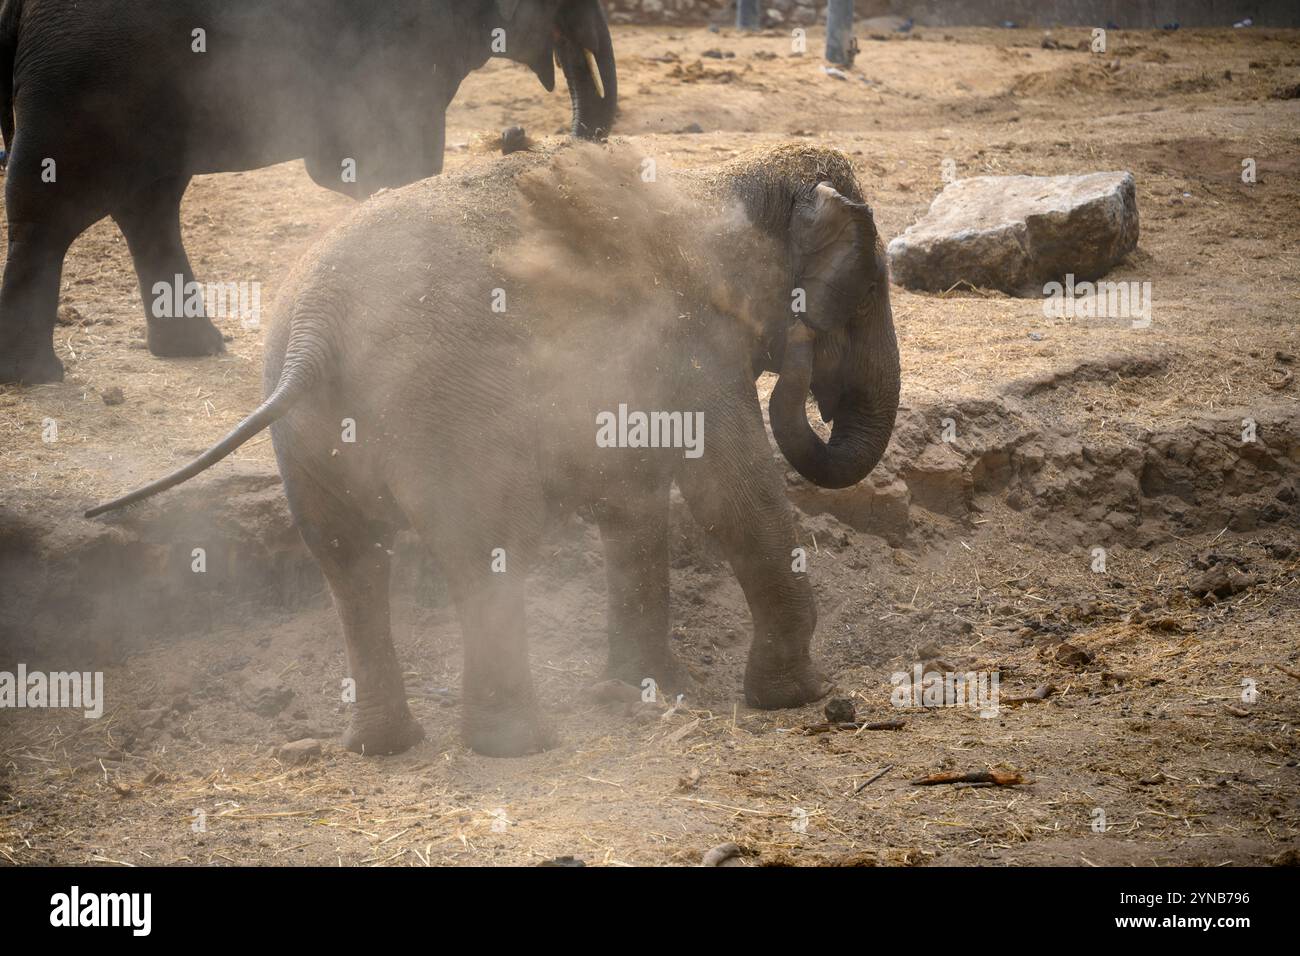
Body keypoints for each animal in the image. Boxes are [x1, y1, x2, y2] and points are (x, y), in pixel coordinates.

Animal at [0, 0, 616, 382]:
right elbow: (388, 155)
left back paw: (194, 347)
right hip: (79, 87)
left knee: (150, 202)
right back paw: (36, 376)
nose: (518, 137)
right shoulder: (402, 47)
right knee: (49, 209)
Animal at [86, 141, 899, 759]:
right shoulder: (695, 341)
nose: (803, 356)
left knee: (349, 557)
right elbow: (731, 493)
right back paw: (516, 746)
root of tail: (317, 325)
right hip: (451, 414)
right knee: (487, 545)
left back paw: (386, 745)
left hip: (310, 434)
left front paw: (648, 690)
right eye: (866, 292)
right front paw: (796, 697)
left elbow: (633, 495)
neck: (727, 180)